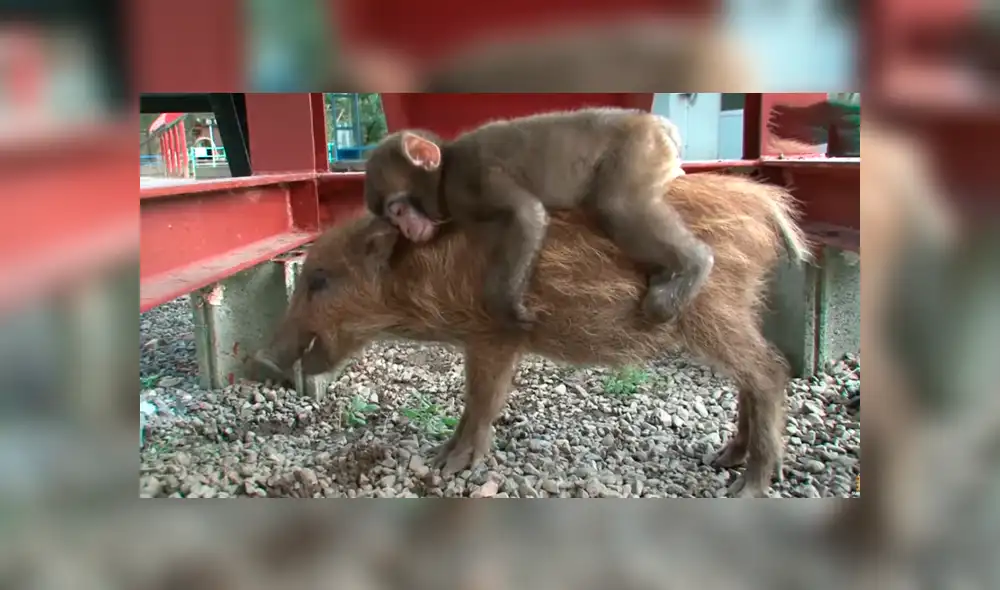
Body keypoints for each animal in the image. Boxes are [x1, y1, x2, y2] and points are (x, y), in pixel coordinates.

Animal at [363, 107, 716, 331]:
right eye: (394, 220)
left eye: (397, 211)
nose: (406, 228)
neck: (446, 170)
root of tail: (657, 123)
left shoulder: (473, 177)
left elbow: (526, 215)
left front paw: (504, 305)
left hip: (641, 148)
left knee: (618, 206)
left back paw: (694, 265)